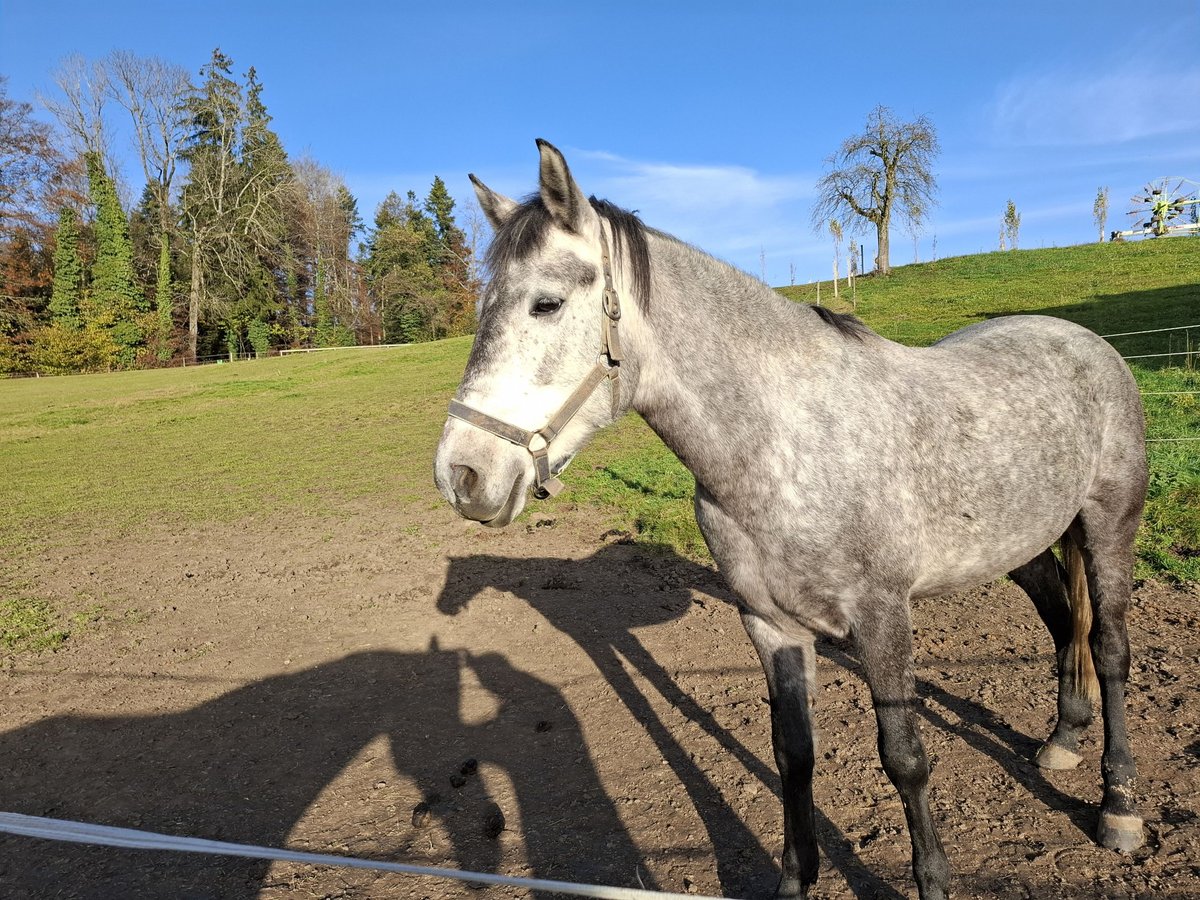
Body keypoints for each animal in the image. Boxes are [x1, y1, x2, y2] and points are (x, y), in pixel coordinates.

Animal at [436, 141, 1147, 900]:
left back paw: (1119, 809)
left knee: (1109, 648)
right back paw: (1063, 740)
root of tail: (1085, 342)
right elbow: (793, 755)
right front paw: (795, 879)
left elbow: (905, 757)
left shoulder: (881, 617)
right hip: (1021, 543)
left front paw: (931, 880)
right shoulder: (770, 624)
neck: (785, 440)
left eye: (546, 303)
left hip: (1109, 527)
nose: (462, 475)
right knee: (1062, 621)